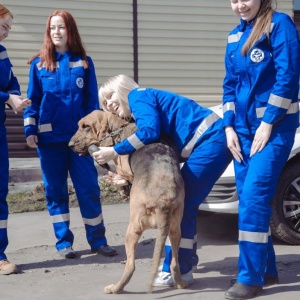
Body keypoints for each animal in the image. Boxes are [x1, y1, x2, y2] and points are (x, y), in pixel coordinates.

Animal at [69, 110, 186, 292]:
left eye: (86, 126)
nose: (70, 145)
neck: (119, 127)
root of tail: (163, 201)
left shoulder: (124, 171)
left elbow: (123, 177)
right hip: (175, 231)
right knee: (174, 262)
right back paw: (181, 284)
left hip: (132, 230)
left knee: (131, 266)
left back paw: (115, 289)